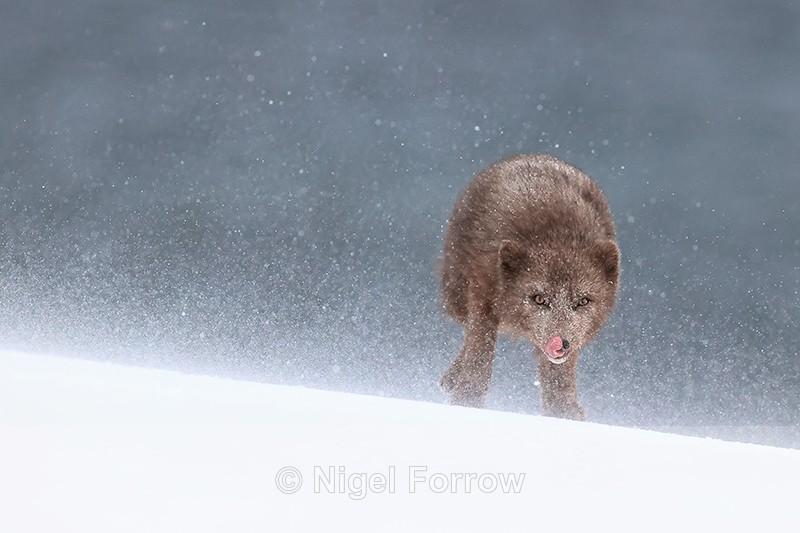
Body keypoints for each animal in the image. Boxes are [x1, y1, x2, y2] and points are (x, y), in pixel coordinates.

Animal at [439, 154, 620, 420]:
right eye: (539, 299)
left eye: (582, 301)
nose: (560, 343)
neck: (558, 234)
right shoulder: (483, 297)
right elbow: (479, 358)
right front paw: (466, 403)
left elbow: (558, 386)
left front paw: (566, 416)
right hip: (457, 297)